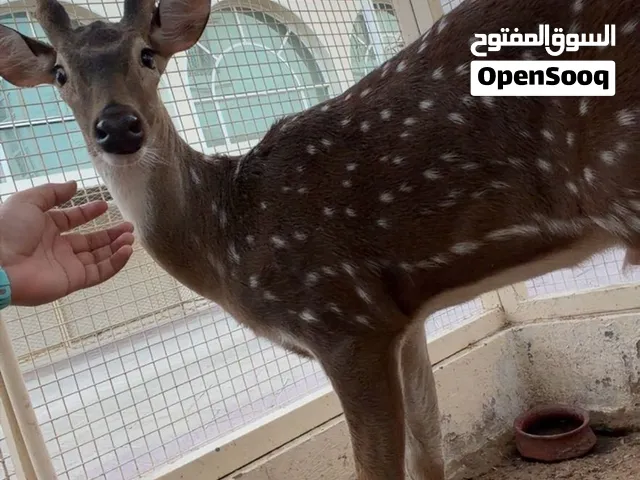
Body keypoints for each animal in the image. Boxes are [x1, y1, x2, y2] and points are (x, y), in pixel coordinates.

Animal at [1, 0, 639, 478]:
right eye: (60, 74)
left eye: (146, 54)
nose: (118, 127)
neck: (227, 238)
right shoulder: (402, 321)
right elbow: (430, 456)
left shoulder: (343, 318)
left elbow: (378, 468)